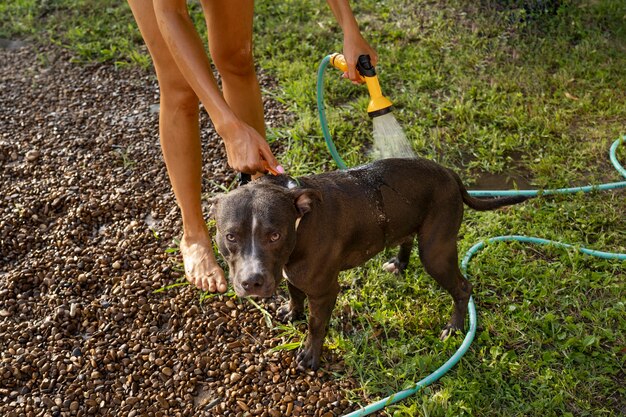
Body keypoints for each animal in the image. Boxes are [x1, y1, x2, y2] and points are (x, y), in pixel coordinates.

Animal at [210, 156, 528, 368]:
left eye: (274, 235)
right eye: (230, 236)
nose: (252, 282)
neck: (299, 219)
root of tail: (449, 173)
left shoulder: (325, 291)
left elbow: (315, 324)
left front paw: (310, 355)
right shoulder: (293, 274)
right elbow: (295, 293)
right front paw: (292, 311)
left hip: (436, 252)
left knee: (463, 288)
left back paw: (455, 328)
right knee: (406, 240)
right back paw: (398, 264)